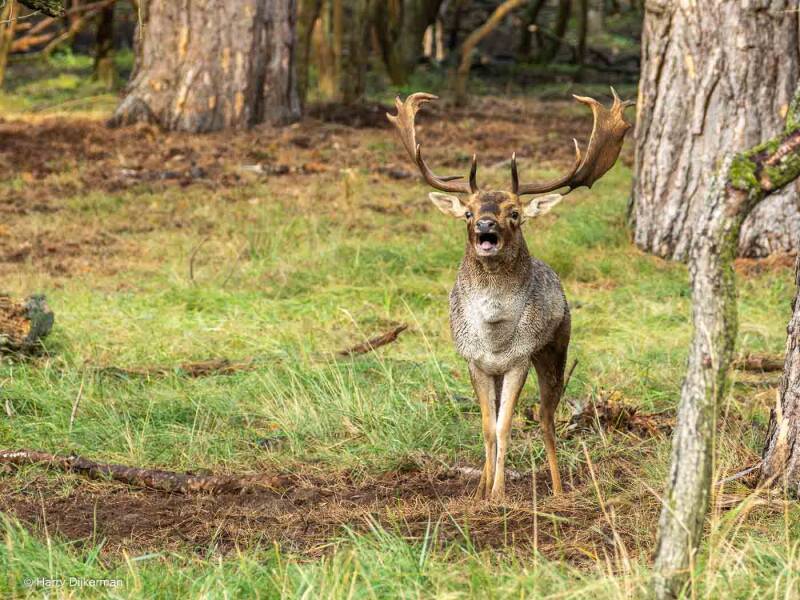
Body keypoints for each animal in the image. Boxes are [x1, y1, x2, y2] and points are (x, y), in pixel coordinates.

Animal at [386, 90, 633, 501]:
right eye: (468, 213)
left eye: (514, 212)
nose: (486, 225)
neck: (494, 335)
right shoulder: (475, 361)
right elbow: (487, 427)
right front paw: (481, 493)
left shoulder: (519, 359)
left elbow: (505, 427)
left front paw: (500, 494)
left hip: (555, 348)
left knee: (547, 418)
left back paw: (557, 488)